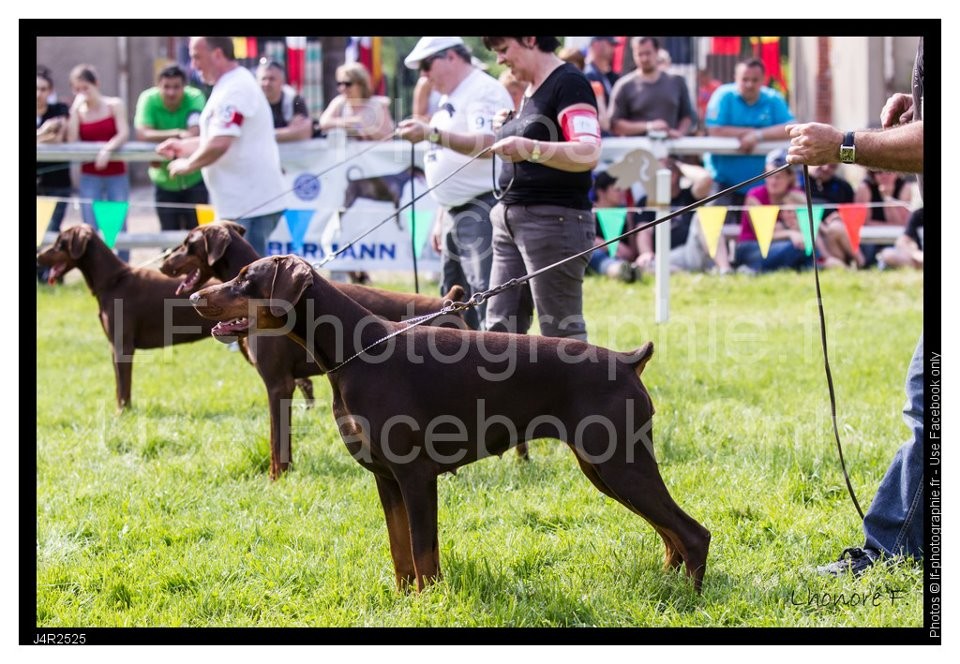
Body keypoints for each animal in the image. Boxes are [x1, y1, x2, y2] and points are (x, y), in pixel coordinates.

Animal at [36, 223, 221, 410]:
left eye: (60, 242)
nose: (38, 256)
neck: (112, 281)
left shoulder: (123, 345)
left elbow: (124, 385)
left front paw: (122, 411)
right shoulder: (113, 345)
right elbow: (119, 385)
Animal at [160, 222, 464, 478]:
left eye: (187, 243)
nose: (163, 263)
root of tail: (450, 303)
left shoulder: (278, 384)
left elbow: (277, 442)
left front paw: (276, 479)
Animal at [191, 255, 708, 592]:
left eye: (245, 279)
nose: (194, 296)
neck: (353, 352)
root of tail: (627, 361)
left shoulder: (415, 475)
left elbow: (424, 550)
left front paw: (429, 601)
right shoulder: (386, 478)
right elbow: (400, 550)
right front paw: (404, 600)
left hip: (621, 463)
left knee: (692, 533)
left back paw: (688, 597)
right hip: (603, 469)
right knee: (669, 533)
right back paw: (667, 584)